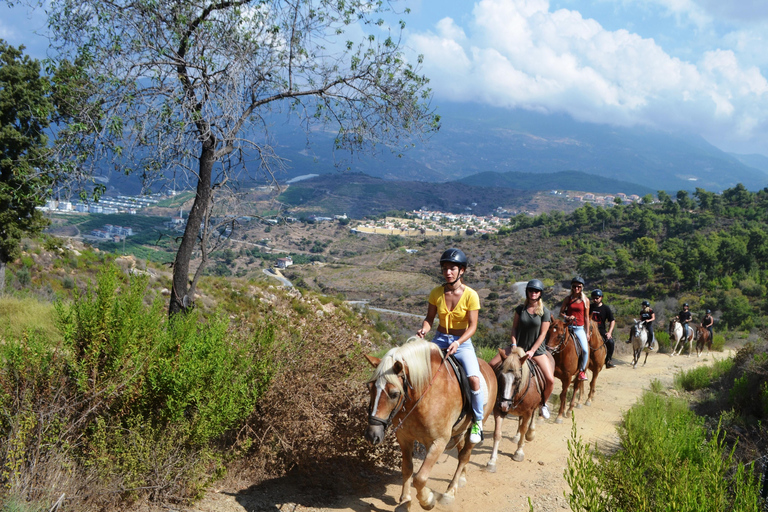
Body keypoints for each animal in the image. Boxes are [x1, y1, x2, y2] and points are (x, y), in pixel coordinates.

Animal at [362, 338, 496, 510]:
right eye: (369, 387)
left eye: (394, 394)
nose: (372, 435)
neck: (422, 396)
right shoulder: (405, 438)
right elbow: (407, 468)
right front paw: (405, 499)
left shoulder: (438, 442)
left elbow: (420, 478)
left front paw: (428, 500)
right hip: (459, 430)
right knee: (462, 454)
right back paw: (462, 479)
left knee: (464, 456)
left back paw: (450, 493)